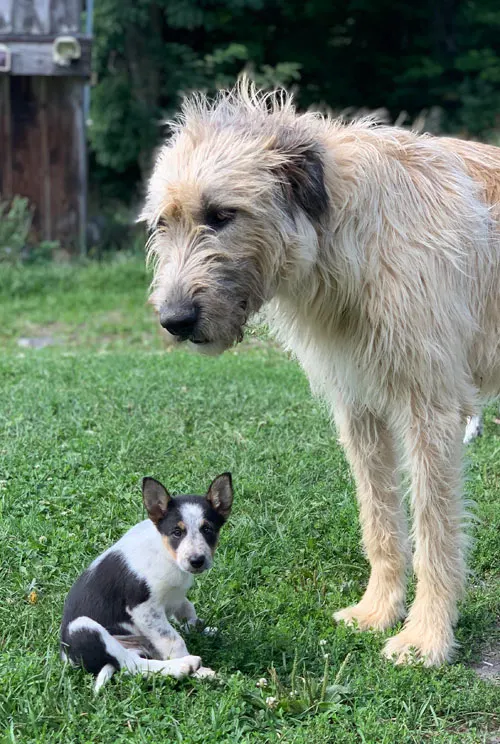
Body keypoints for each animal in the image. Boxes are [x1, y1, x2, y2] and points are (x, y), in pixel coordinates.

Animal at [60, 474, 232, 688]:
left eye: (208, 529)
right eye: (177, 532)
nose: (197, 561)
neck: (167, 555)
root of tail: (68, 657)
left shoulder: (177, 596)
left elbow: (188, 611)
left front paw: (203, 629)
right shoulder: (143, 609)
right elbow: (174, 639)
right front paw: (199, 671)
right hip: (83, 627)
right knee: (132, 665)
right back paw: (186, 666)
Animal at [140, 81, 500, 668]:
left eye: (220, 214)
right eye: (162, 223)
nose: (173, 321)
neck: (344, 237)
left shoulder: (430, 407)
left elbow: (434, 529)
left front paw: (426, 637)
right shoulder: (358, 406)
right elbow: (379, 517)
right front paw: (378, 611)